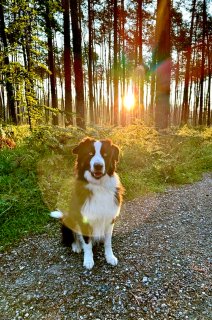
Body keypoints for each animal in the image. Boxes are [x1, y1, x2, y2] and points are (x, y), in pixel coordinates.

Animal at [50, 138, 123, 270]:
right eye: (90, 154)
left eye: (105, 154)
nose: (98, 166)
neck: (98, 186)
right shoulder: (84, 219)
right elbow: (87, 243)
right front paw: (88, 260)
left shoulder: (110, 219)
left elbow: (108, 242)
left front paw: (110, 257)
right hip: (69, 220)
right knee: (73, 237)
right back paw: (77, 246)